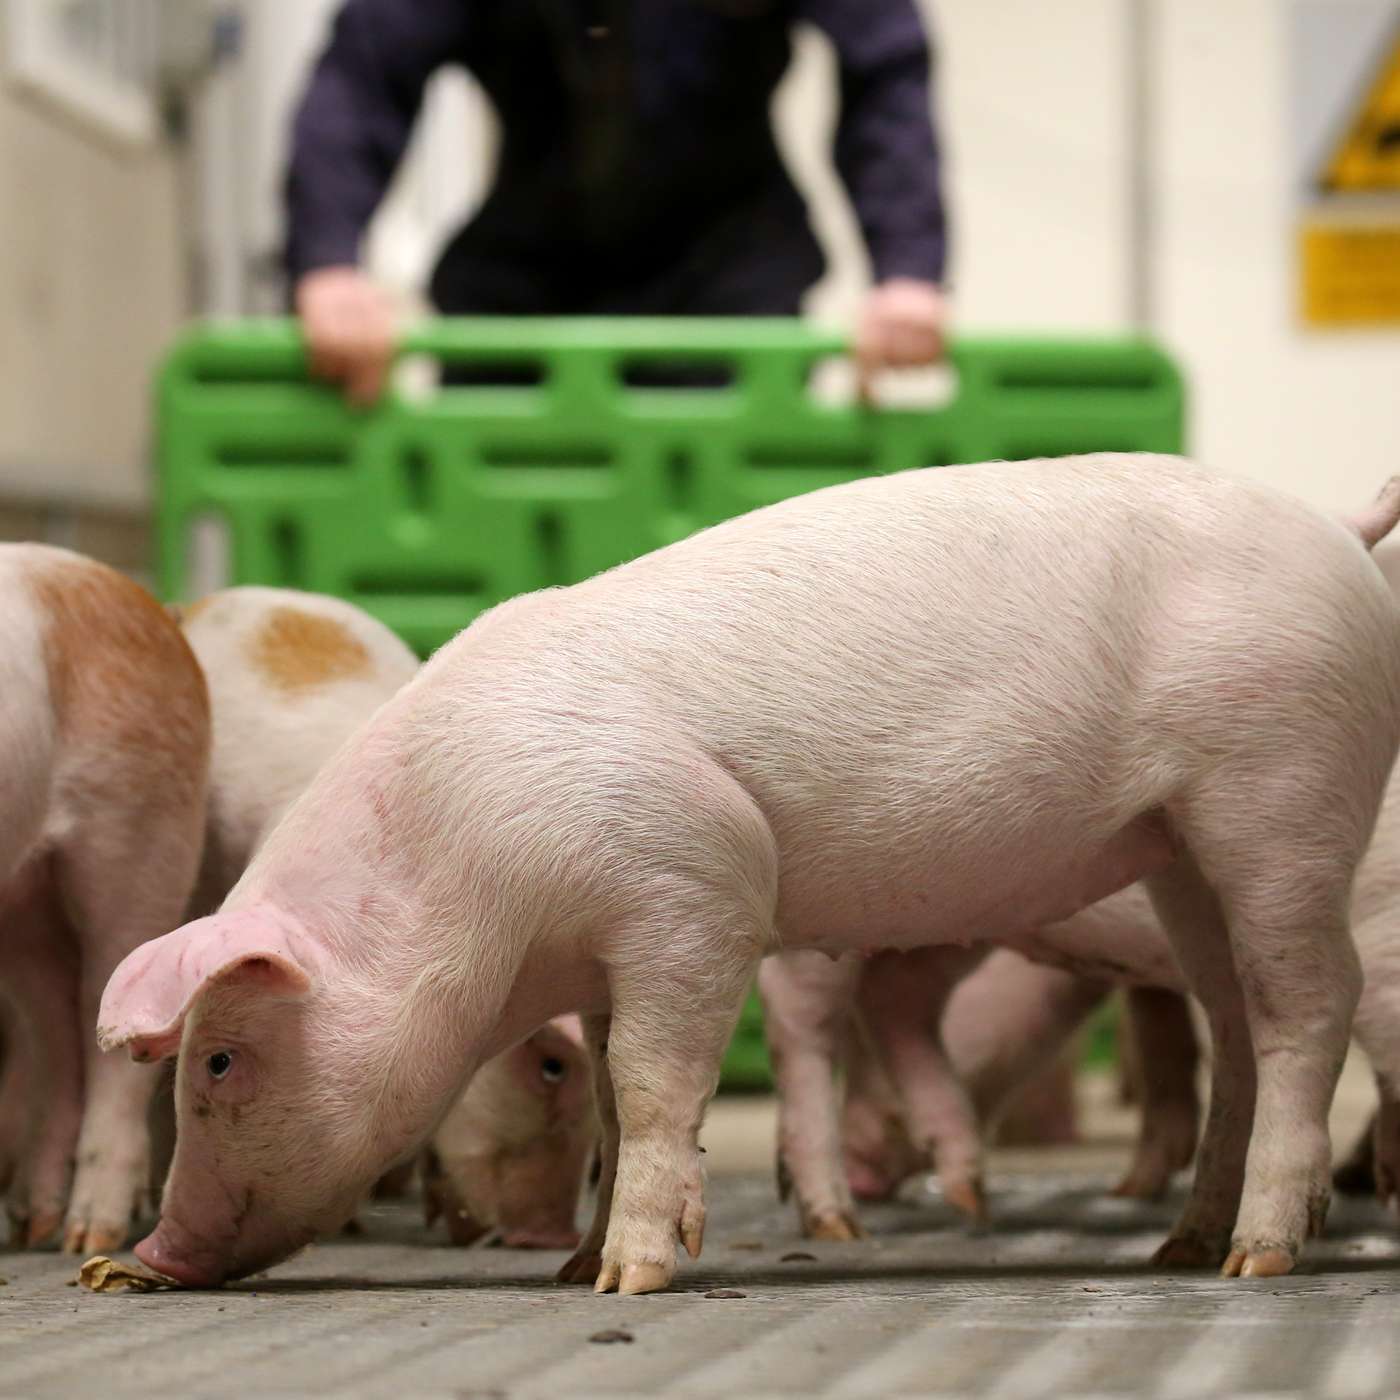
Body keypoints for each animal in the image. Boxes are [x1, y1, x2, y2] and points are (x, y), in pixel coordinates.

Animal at [0, 545, 210, 1252]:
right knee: (59, 1040)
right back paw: (35, 1225)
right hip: (26, 898)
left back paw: (92, 1237)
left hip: (145, 838)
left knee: (114, 1040)